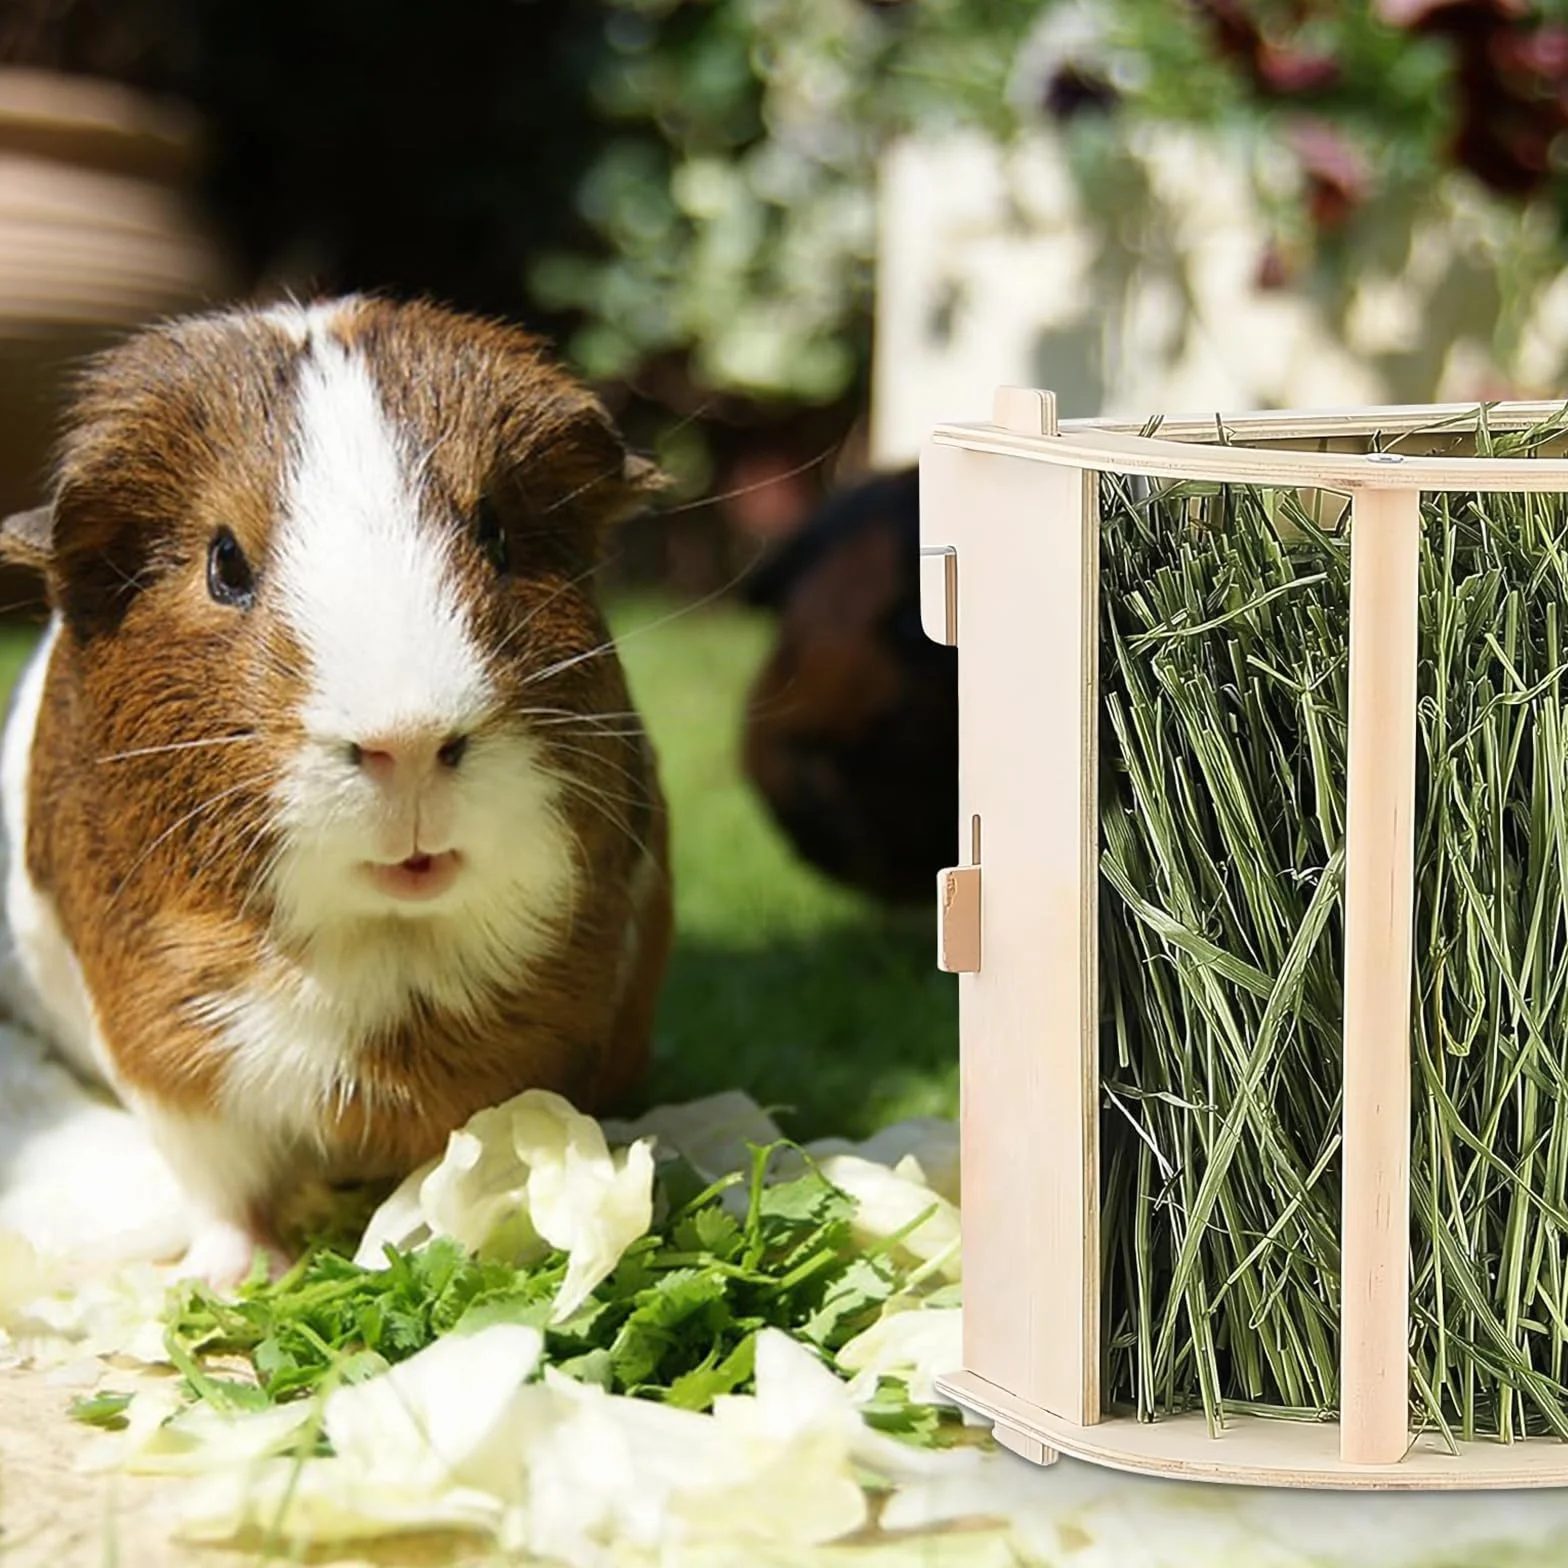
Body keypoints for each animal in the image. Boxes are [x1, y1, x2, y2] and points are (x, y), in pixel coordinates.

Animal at [0, 296, 673, 1282]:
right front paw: (238, 1281)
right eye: (225, 564)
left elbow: (466, 1152)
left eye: (497, 536)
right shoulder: (172, 1051)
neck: (389, 965)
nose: (409, 739)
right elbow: (222, 1187)